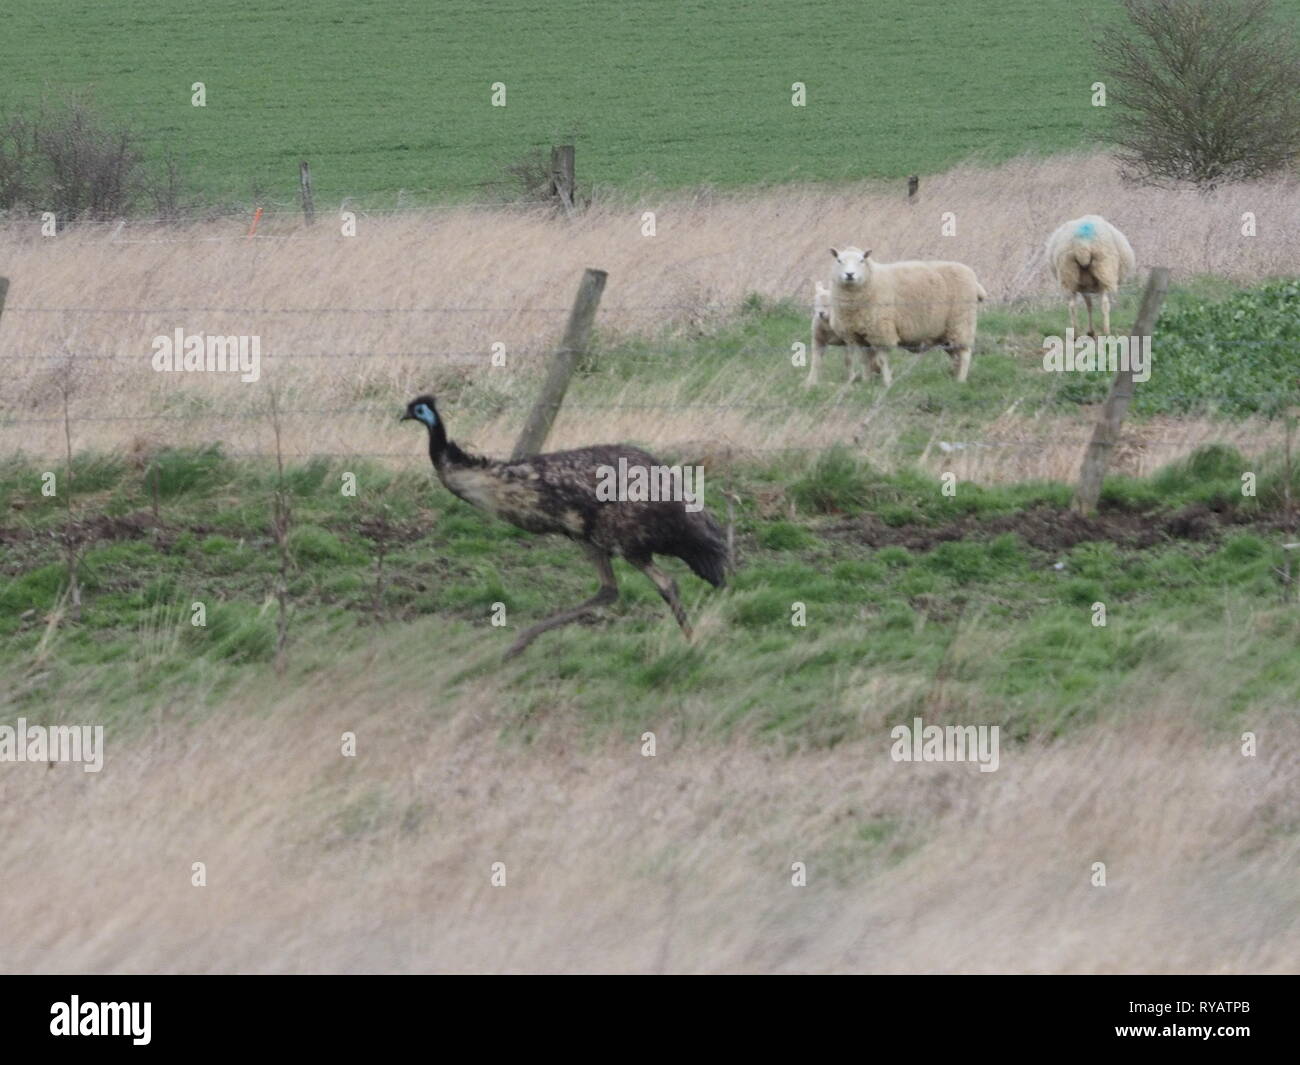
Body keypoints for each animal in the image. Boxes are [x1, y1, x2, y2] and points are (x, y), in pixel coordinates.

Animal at [816, 247, 987, 387]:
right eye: (839, 260)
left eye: (861, 260)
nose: (849, 275)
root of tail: (974, 279)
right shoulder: (857, 336)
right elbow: (865, 361)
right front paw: (866, 382)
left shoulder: (881, 331)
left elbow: (882, 360)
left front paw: (887, 383)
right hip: (946, 333)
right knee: (955, 355)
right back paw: (953, 376)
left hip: (961, 322)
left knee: (964, 354)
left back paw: (961, 380)